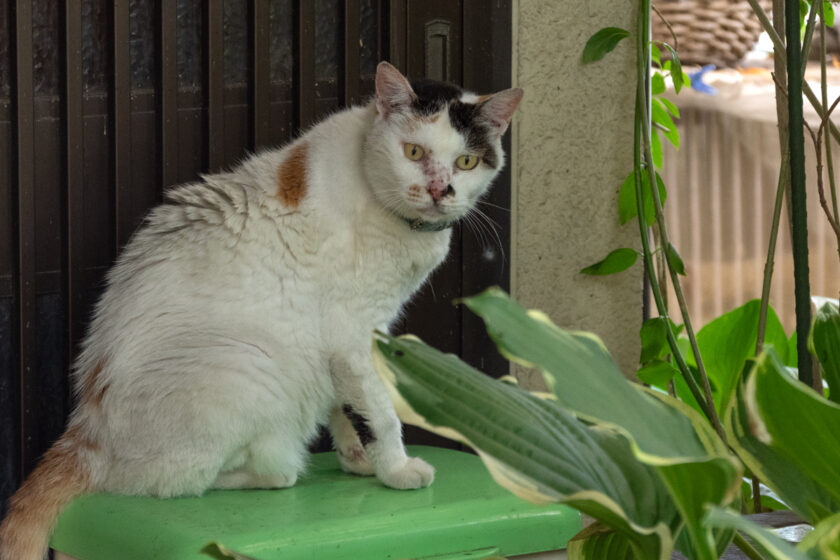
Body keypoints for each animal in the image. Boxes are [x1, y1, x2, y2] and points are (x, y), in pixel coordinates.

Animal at [0, 61, 520, 560]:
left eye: (466, 161)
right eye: (413, 152)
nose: (438, 190)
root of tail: (85, 432)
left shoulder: (348, 340)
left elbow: (345, 403)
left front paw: (357, 458)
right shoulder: (353, 332)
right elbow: (380, 410)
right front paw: (395, 469)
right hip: (250, 365)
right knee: (184, 482)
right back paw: (282, 467)